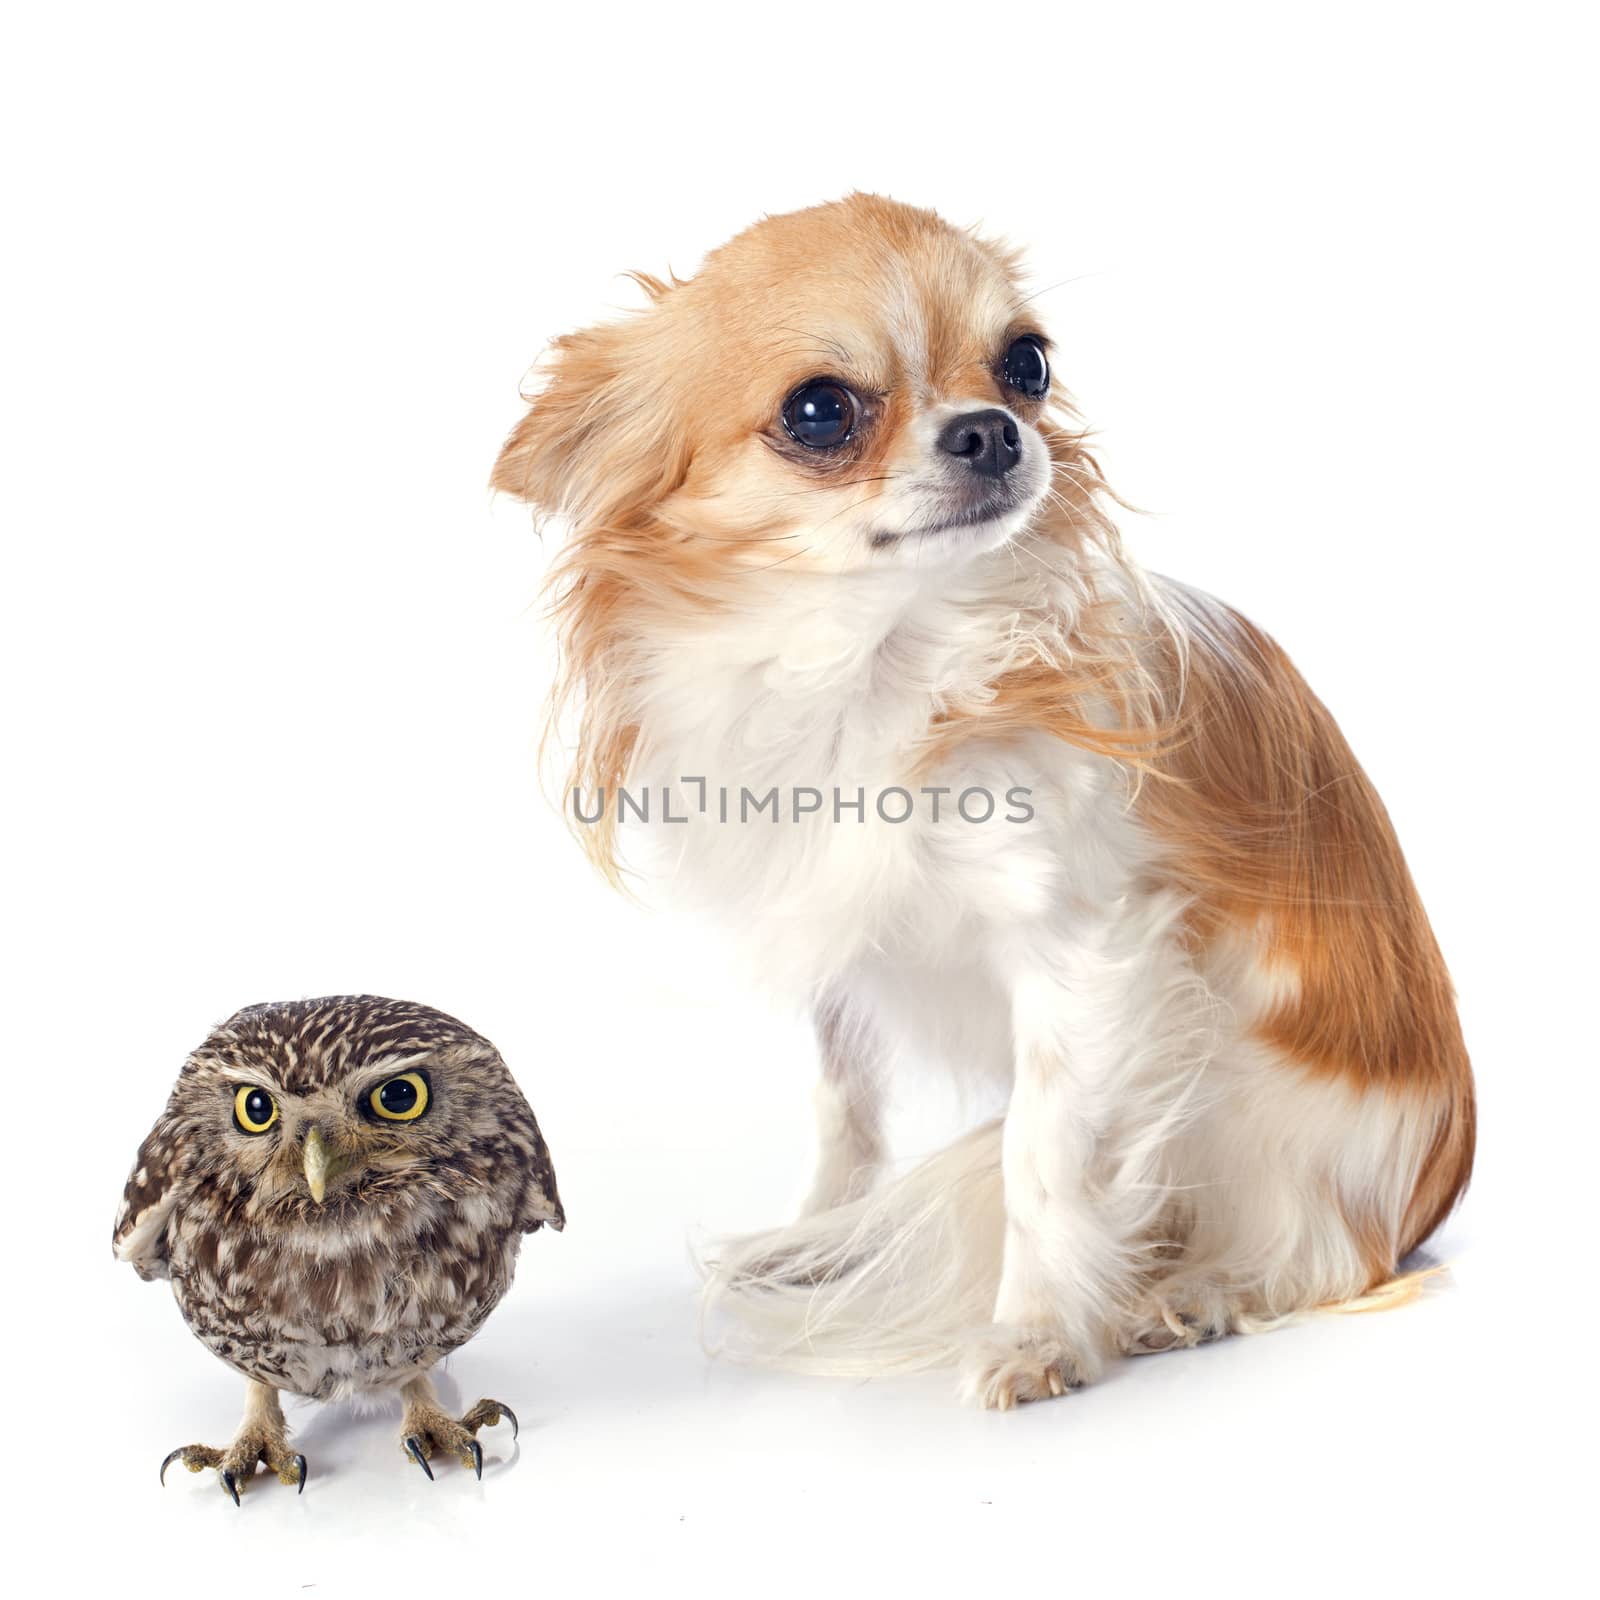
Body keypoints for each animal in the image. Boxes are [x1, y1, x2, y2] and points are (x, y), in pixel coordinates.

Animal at [489, 193, 1472, 1408]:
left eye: (1027, 363)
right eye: (819, 410)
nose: (994, 430)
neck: (874, 666)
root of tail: (1437, 1174)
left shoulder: (1083, 953)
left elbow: (1042, 1159)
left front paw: (1038, 1333)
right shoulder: (841, 956)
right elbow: (845, 1110)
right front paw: (824, 1234)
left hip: (1263, 1111)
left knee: (1334, 1249)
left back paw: (1203, 1290)